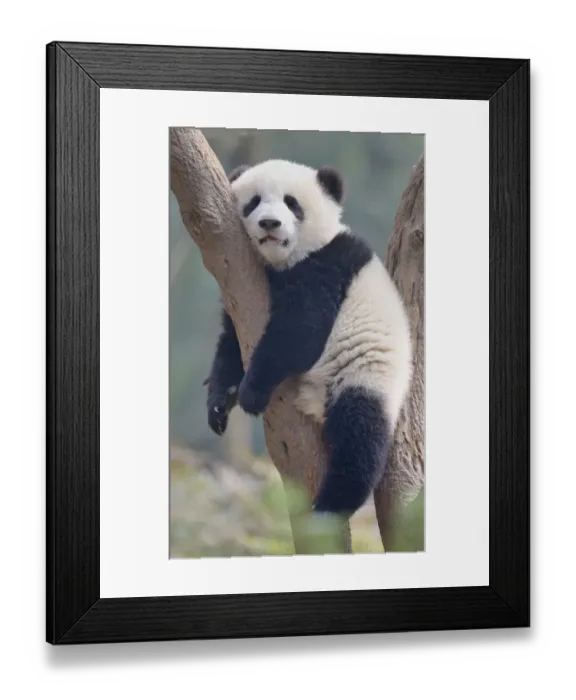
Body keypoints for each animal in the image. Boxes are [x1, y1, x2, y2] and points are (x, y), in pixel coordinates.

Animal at [205, 158, 413, 520]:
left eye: (292, 203)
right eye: (254, 201)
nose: (270, 223)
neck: (283, 262)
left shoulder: (327, 267)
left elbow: (299, 334)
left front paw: (251, 392)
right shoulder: (239, 289)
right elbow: (231, 341)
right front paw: (220, 401)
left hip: (366, 377)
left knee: (361, 437)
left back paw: (329, 508)